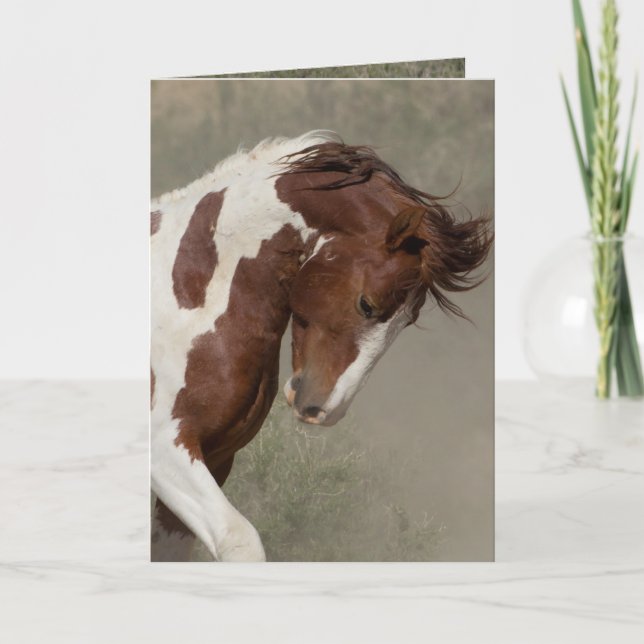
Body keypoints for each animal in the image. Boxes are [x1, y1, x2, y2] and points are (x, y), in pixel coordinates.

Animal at [150, 131, 492, 561]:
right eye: (367, 303)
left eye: (409, 319)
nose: (323, 409)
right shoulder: (166, 445)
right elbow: (239, 538)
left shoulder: (216, 457)